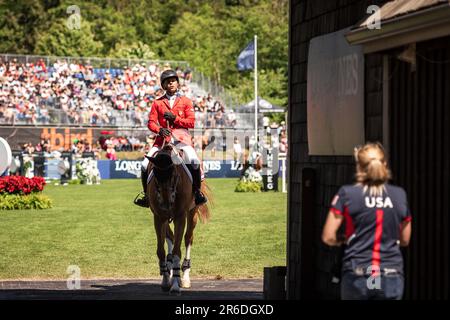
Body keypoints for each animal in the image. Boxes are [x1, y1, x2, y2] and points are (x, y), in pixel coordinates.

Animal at [147, 145, 212, 296]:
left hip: (192, 213)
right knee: (170, 237)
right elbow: (161, 251)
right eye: (156, 176)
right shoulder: (158, 217)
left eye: (174, 176)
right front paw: (166, 281)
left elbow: (177, 251)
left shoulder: (180, 217)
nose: (166, 204)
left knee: (188, 238)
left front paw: (176, 285)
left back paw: (185, 278)